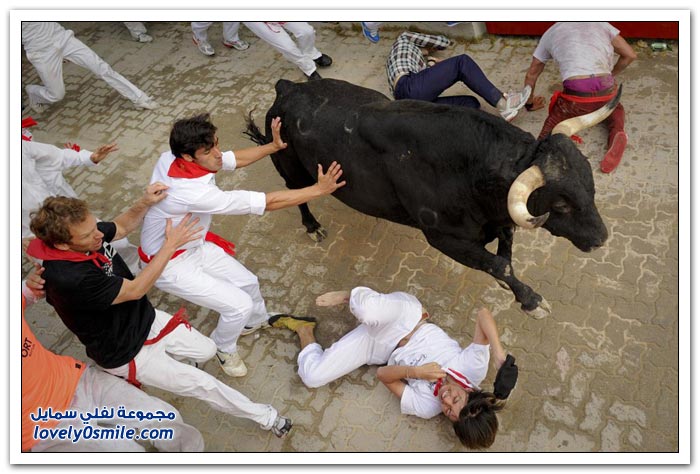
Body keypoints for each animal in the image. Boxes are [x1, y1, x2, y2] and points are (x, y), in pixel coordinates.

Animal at [245, 78, 620, 319]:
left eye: (590, 183)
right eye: (561, 205)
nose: (601, 238)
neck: (469, 171)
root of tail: (289, 87)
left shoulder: (499, 221)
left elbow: (505, 256)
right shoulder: (442, 237)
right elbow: (500, 263)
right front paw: (532, 300)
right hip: (291, 167)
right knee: (297, 194)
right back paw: (312, 226)